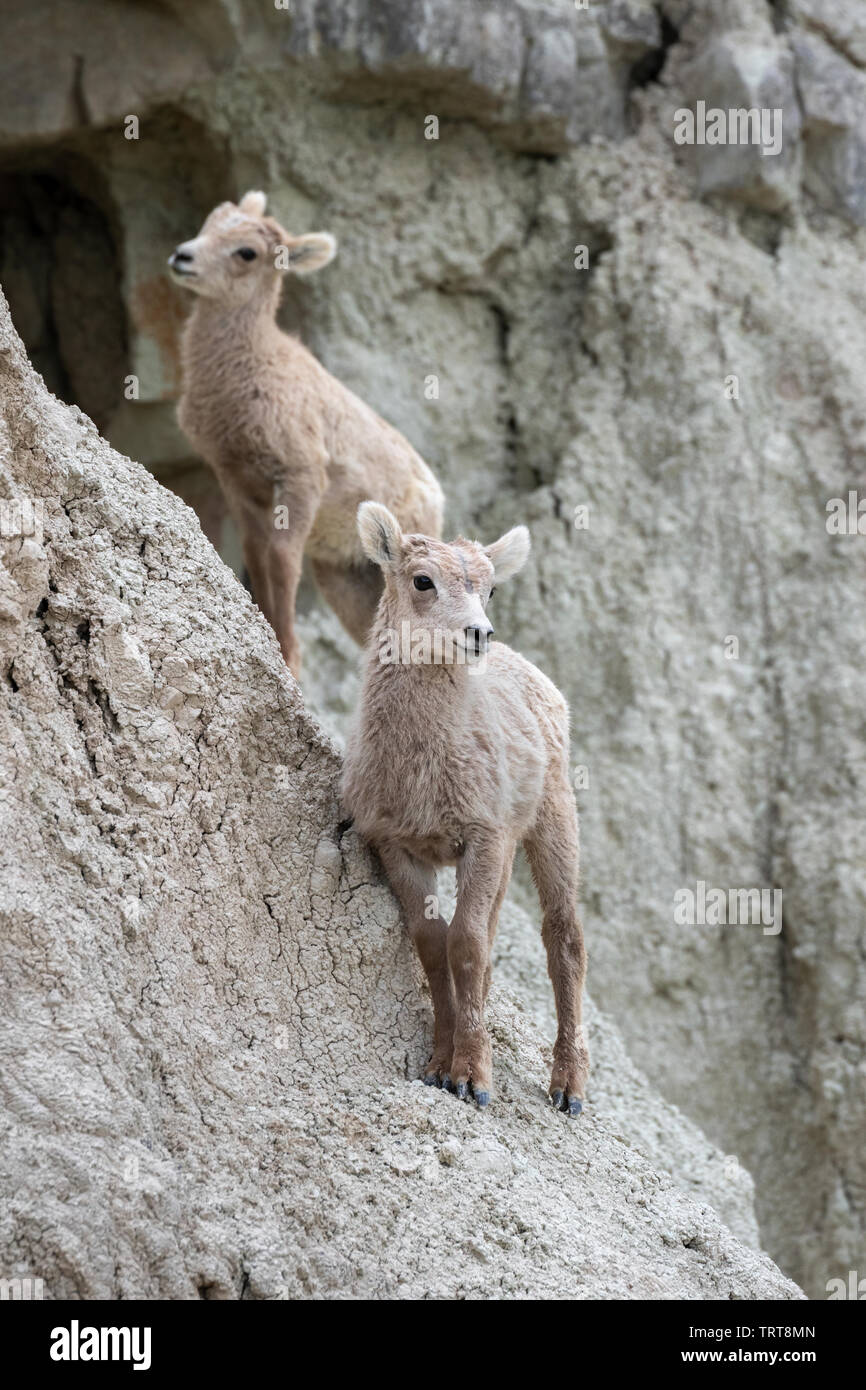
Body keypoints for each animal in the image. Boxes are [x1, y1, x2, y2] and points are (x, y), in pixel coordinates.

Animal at [168, 191, 444, 678]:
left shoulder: (301, 477)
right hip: (349, 580)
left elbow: (281, 559)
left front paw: (290, 659)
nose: (183, 257)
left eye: (247, 252)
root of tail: (437, 498)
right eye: (212, 221)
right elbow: (256, 556)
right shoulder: (237, 481)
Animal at [339, 505, 589, 1112]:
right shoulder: (398, 845)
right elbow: (434, 944)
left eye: (491, 589)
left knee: (563, 936)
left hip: (553, 821)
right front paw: (437, 1066)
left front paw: (473, 1079)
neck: (422, 769)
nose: (479, 634)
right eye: (422, 581)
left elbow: (466, 943)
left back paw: (568, 1089)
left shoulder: (484, 837)